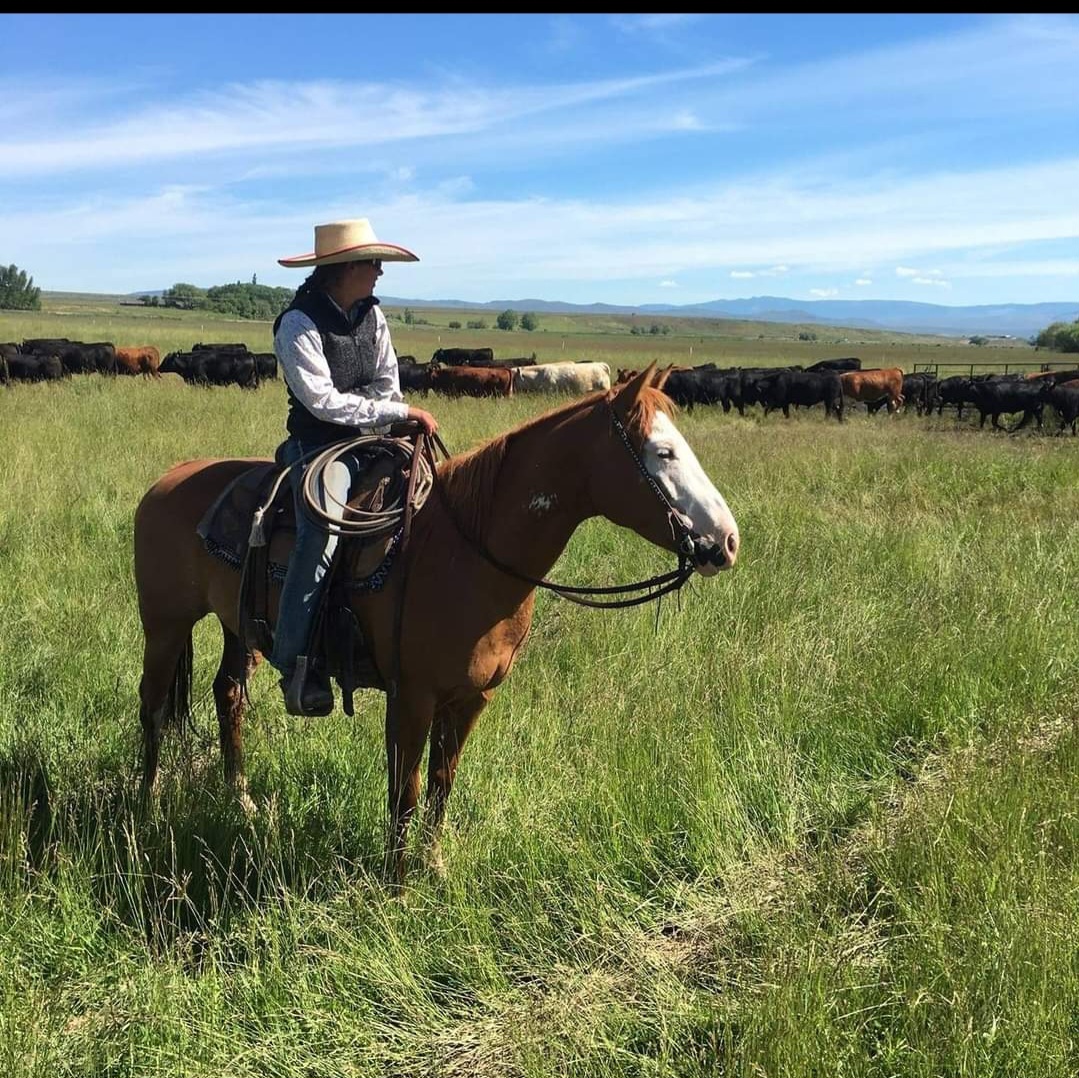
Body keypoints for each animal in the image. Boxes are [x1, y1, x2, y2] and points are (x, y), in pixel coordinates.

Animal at [133, 364, 741, 884]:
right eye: (663, 452)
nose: (727, 541)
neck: (468, 552)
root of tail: (167, 481)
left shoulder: (471, 697)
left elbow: (442, 783)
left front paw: (434, 866)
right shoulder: (412, 697)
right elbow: (405, 788)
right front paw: (397, 886)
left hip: (240, 628)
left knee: (228, 695)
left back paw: (242, 800)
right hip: (165, 626)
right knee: (154, 706)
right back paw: (149, 805)